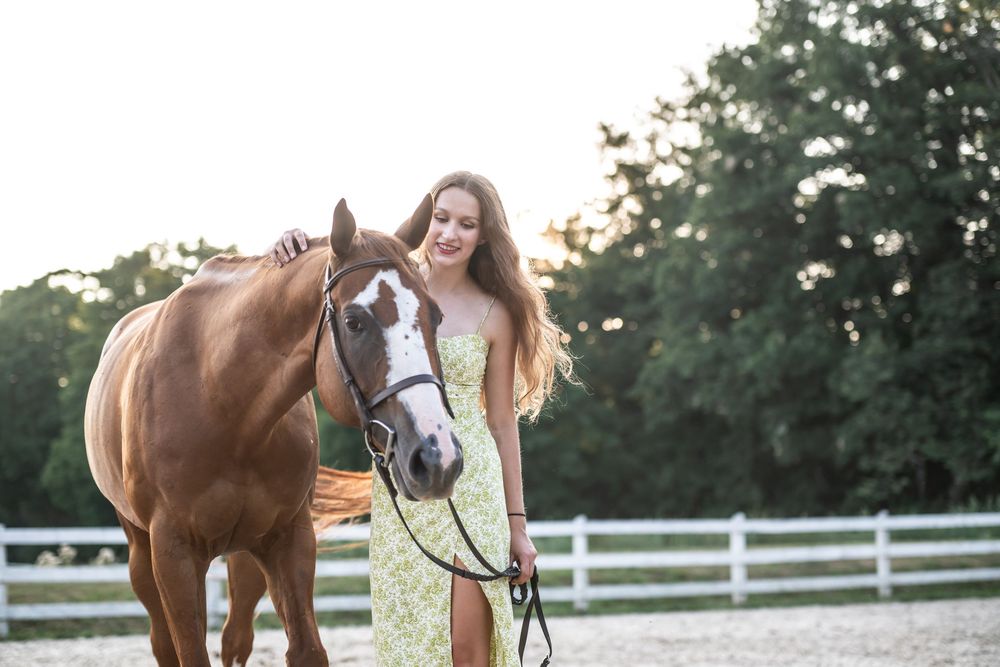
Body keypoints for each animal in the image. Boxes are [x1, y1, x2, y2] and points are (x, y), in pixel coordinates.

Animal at [84, 196, 463, 666]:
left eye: (436, 315)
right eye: (354, 321)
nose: (437, 456)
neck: (223, 402)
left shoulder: (288, 541)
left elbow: (306, 650)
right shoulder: (172, 554)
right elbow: (188, 650)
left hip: (245, 556)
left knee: (235, 638)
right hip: (142, 554)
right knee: (165, 641)